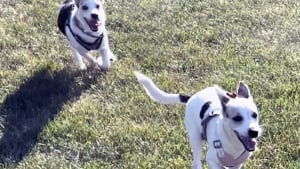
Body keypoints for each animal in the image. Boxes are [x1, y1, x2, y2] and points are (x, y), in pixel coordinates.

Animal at [134, 71, 262, 169]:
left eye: (255, 115)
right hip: (195, 139)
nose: (254, 132)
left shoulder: (237, 165)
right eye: (237, 118)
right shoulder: (211, 160)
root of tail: (191, 97)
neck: (234, 143)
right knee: (196, 162)